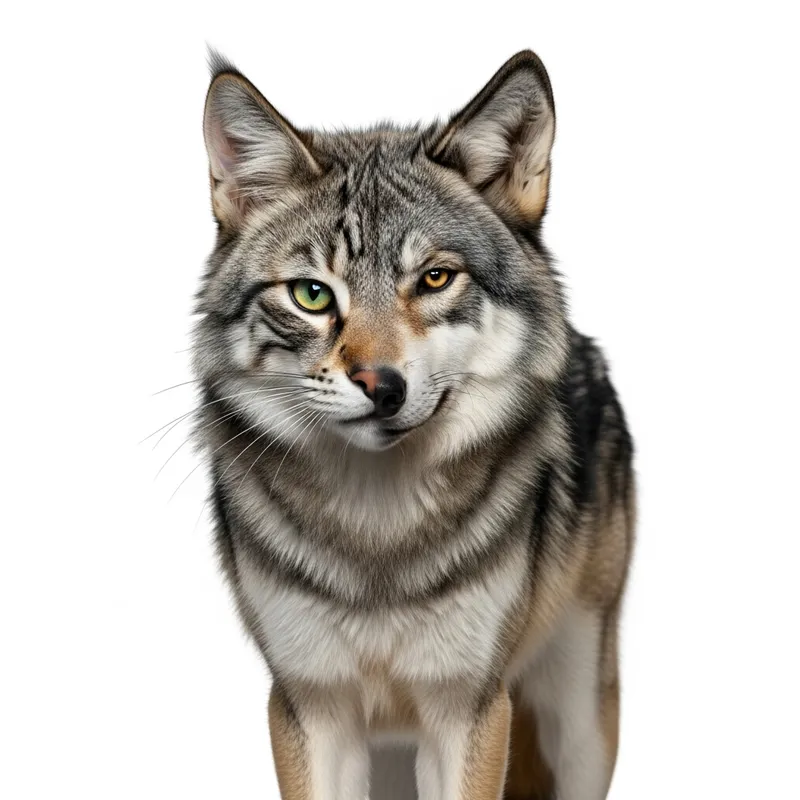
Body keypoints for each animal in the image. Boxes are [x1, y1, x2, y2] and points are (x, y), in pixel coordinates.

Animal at [191, 49, 635, 800]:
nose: (381, 386)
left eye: (433, 279)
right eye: (312, 295)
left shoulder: (471, 711)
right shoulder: (309, 707)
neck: (378, 536)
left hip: (579, 719)